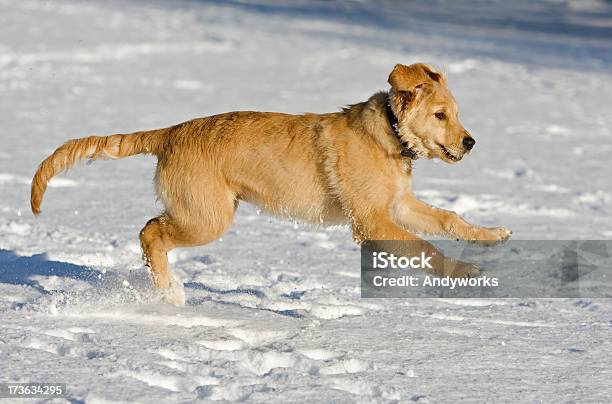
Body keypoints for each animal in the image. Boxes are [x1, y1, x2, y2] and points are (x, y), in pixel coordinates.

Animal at [32, 61, 512, 292]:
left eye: (457, 113)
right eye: (440, 115)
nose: (470, 142)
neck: (390, 134)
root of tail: (171, 133)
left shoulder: (397, 205)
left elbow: (449, 219)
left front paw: (491, 235)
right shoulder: (371, 221)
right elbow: (425, 247)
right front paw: (463, 271)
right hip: (207, 216)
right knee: (150, 232)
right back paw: (170, 292)